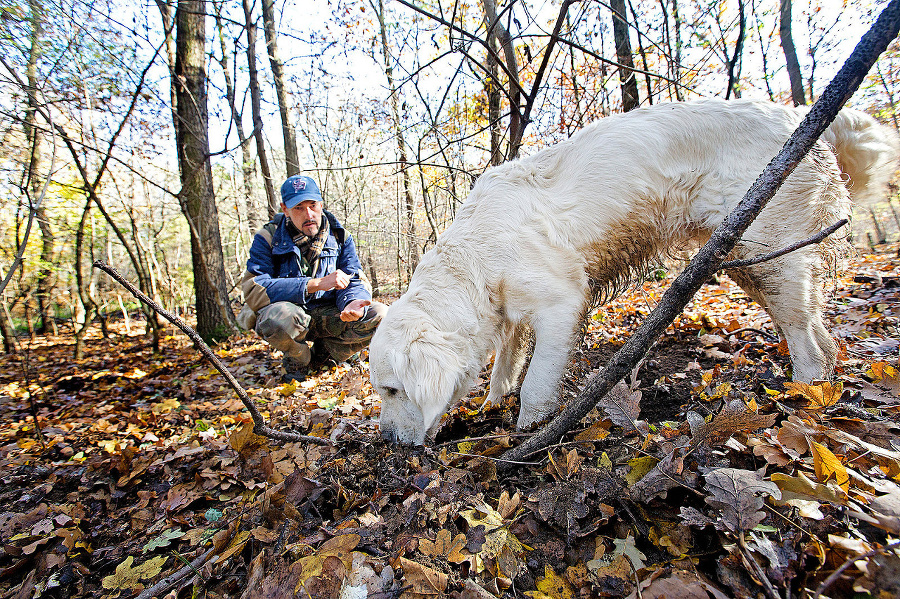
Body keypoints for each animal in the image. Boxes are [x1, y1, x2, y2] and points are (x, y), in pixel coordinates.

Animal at [368, 99, 900, 446]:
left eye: (393, 390)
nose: (390, 442)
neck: (475, 257)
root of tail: (805, 118)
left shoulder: (562, 300)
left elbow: (538, 379)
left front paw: (528, 429)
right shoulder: (510, 314)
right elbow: (506, 361)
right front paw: (493, 402)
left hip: (772, 255)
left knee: (809, 341)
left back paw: (801, 395)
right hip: (749, 259)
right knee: (821, 335)